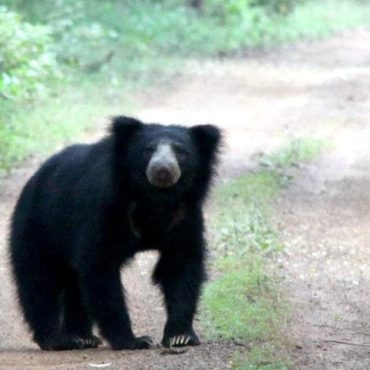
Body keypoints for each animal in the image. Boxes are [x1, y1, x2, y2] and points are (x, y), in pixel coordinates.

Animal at [9, 115, 223, 350]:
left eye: (180, 151)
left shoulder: (184, 215)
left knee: (74, 284)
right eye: (148, 150)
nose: (163, 169)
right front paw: (134, 340)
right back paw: (57, 340)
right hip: (38, 229)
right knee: (39, 282)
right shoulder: (106, 209)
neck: (155, 197)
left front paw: (180, 337)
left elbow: (180, 265)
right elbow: (100, 268)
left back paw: (83, 337)